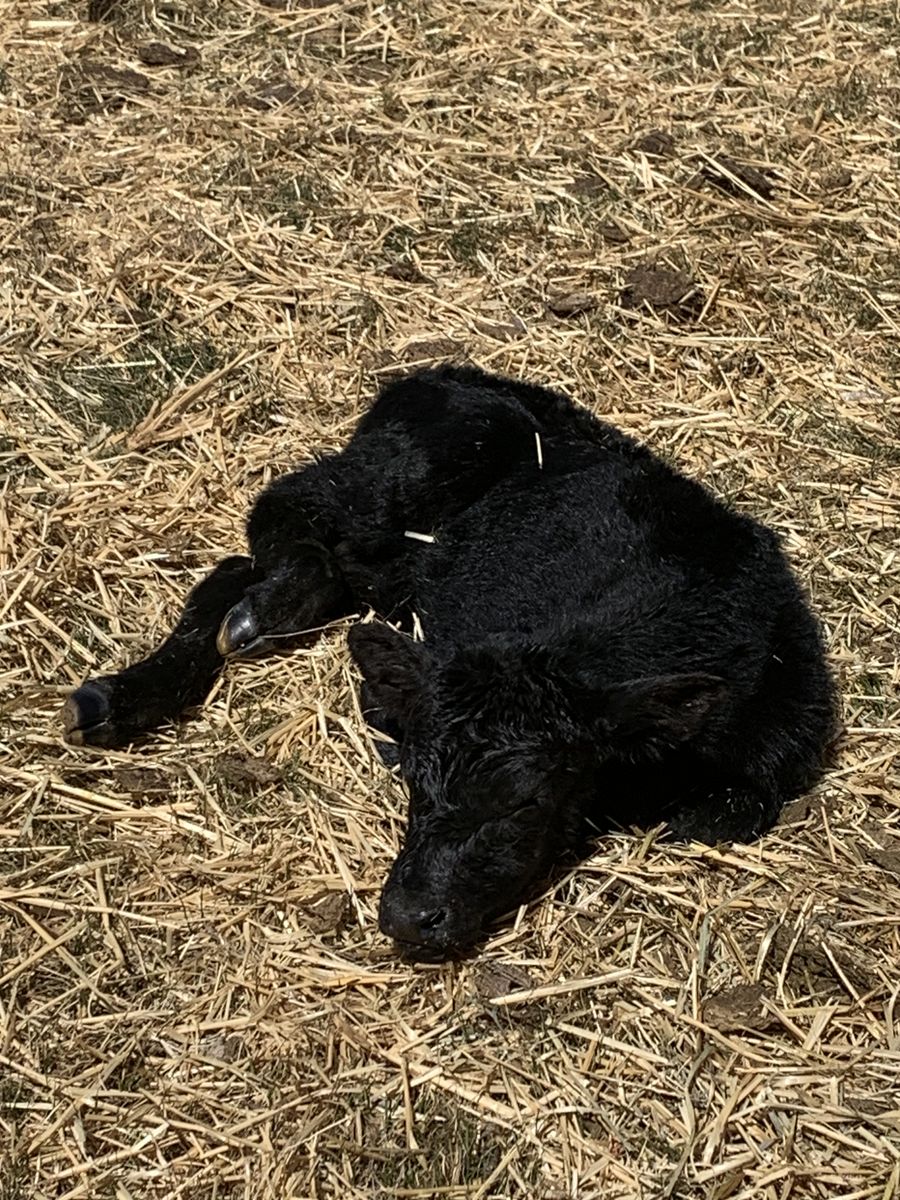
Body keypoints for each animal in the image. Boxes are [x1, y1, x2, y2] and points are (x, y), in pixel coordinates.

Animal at [63, 366, 836, 959]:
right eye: (414, 778)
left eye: (527, 799)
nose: (409, 917)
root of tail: (438, 376)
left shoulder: (783, 727)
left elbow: (738, 803)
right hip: (400, 476)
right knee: (285, 514)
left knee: (248, 569)